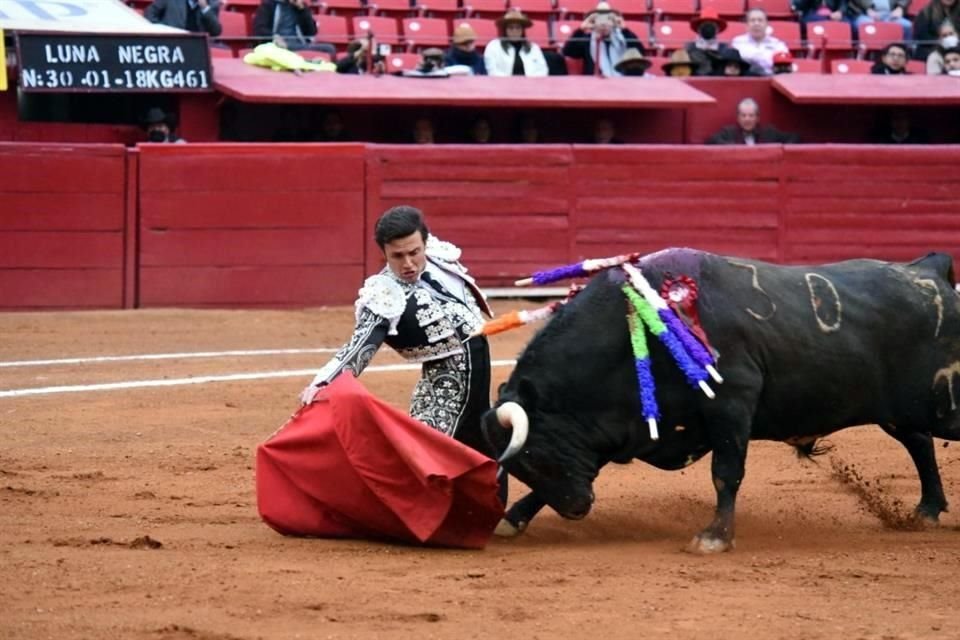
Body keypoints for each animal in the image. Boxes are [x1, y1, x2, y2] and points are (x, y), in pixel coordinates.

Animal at [484, 248, 960, 552]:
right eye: (521, 466)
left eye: (536, 456)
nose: (577, 509)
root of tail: (931, 272)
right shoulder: (621, 426)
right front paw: (512, 519)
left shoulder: (731, 402)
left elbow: (725, 473)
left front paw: (714, 537)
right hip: (902, 410)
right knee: (919, 443)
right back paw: (926, 511)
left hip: (942, 403)